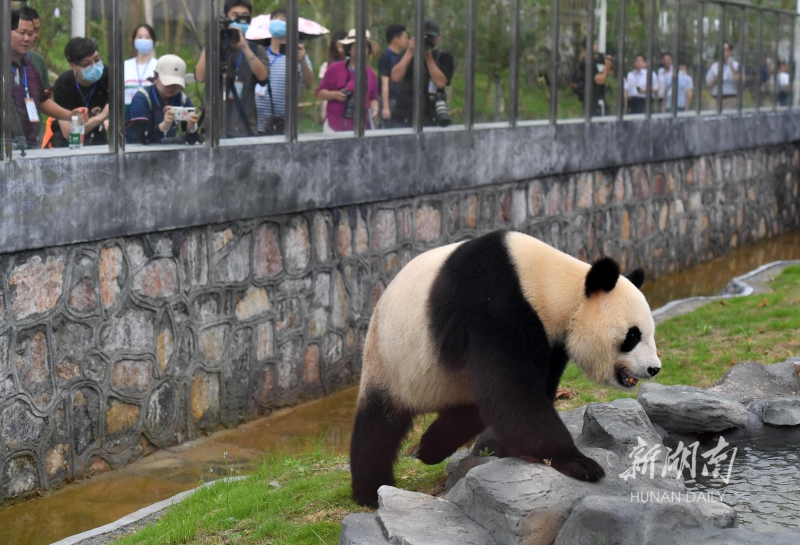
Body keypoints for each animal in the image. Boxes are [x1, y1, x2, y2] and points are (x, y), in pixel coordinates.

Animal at [350, 228, 664, 506]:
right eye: (633, 336)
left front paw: (509, 450)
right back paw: (371, 490)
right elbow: (513, 393)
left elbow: (519, 395)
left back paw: (432, 447)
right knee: (378, 427)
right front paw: (581, 464)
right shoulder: (496, 306)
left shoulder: (551, 340)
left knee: (469, 409)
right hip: (391, 360)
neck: (550, 284)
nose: (654, 369)